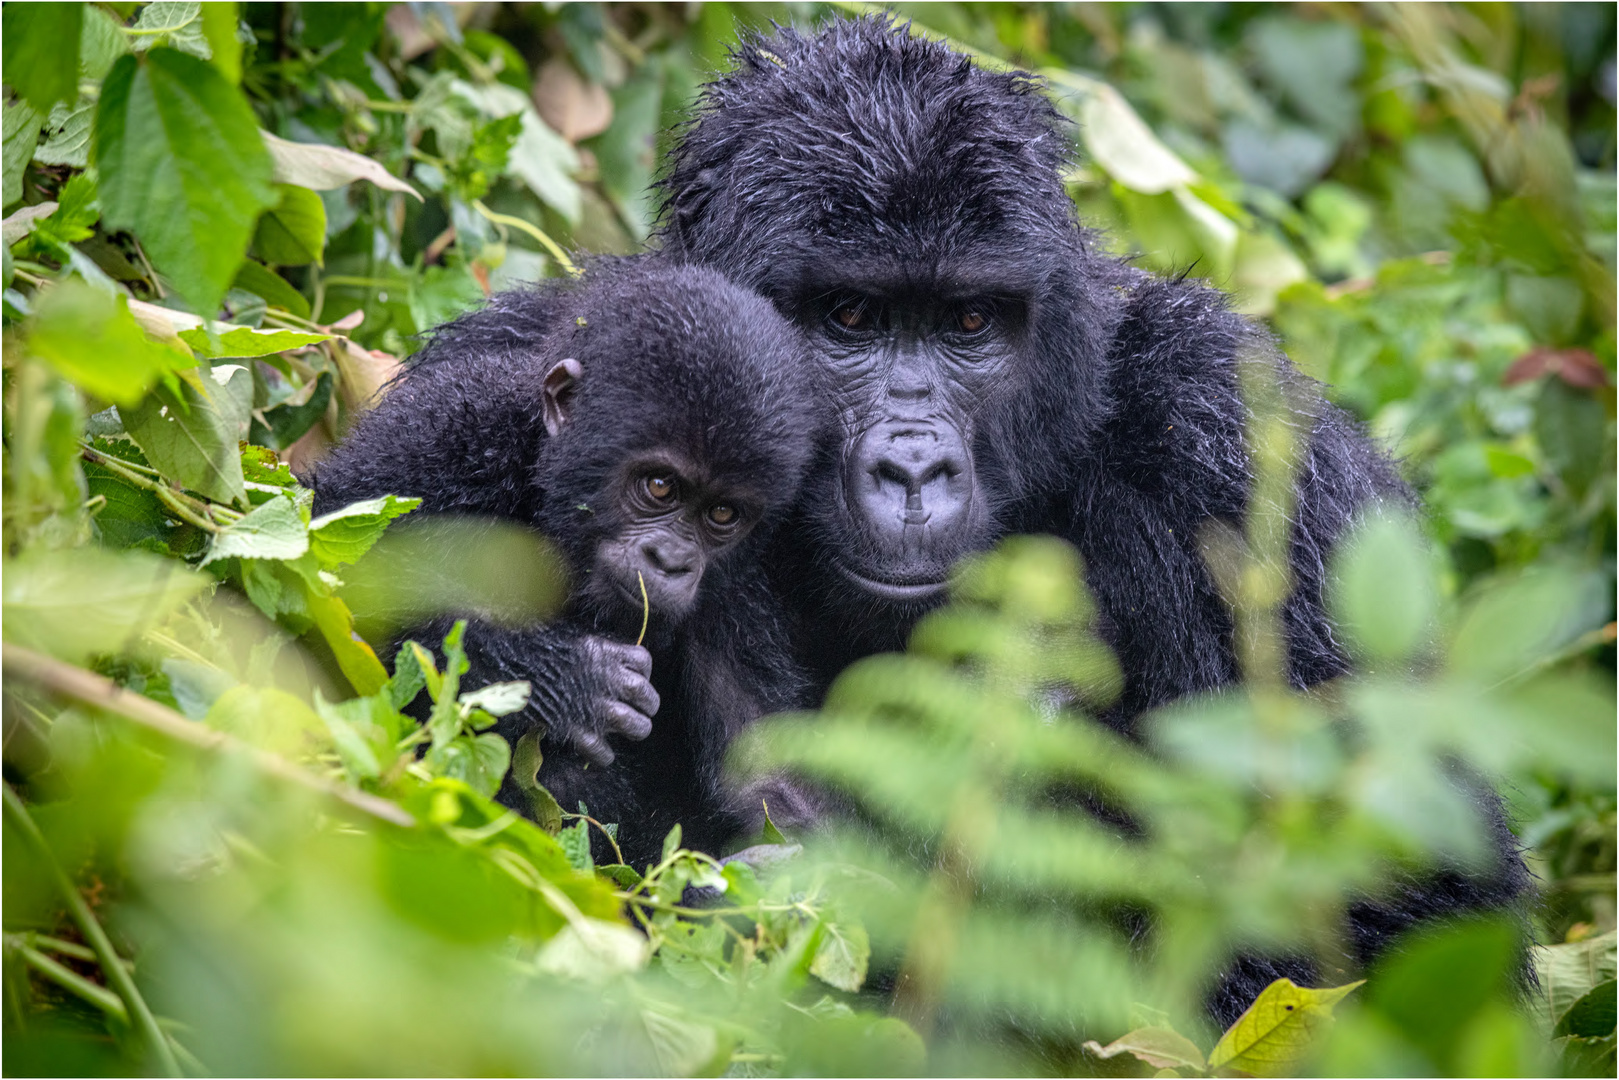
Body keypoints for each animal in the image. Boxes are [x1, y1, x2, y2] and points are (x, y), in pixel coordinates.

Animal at [314, 263, 822, 867]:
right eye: (659, 485)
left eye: (723, 513)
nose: (672, 561)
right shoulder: (446, 426)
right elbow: (325, 585)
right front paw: (557, 678)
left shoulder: (742, 586)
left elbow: (772, 788)